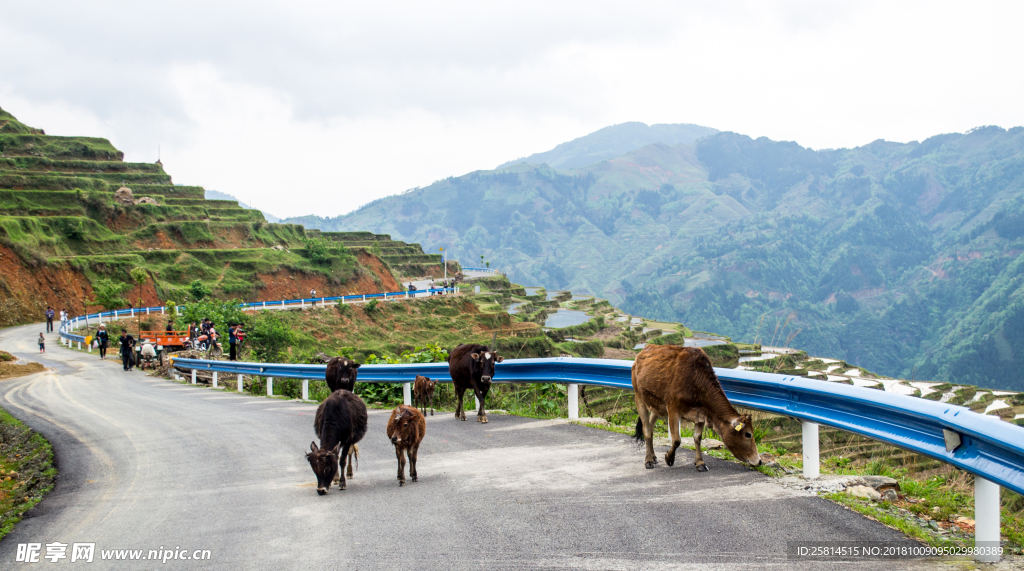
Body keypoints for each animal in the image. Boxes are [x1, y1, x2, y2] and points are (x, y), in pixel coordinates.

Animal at [630, 347, 761, 472]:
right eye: (748, 434)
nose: (759, 461)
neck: (696, 380)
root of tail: (642, 352)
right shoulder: (673, 409)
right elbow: (676, 440)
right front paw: (669, 458)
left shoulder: (701, 414)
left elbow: (697, 438)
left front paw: (700, 463)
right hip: (639, 397)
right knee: (646, 430)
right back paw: (648, 460)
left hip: (657, 406)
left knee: (651, 427)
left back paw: (653, 456)